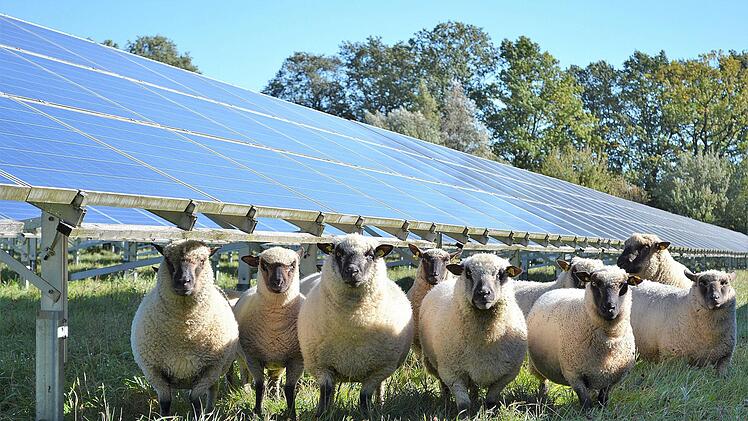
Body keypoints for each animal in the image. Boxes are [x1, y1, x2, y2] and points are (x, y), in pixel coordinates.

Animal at [131, 240, 239, 417]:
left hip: (219, 369)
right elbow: (165, 402)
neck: (184, 330)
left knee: (213, 390)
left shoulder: (210, 369)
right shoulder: (154, 371)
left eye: (202, 260)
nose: (183, 281)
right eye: (167, 259)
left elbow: (195, 400)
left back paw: (210, 411)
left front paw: (200, 416)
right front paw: (164, 418)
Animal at [233, 246, 305, 418]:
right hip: (240, 356)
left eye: (293, 265)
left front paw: (292, 414)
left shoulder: (296, 359)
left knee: (275, 379)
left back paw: (275, 397)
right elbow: (260, 386)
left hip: (278, 362)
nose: (278, 283)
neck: (275, 325)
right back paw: (246, 392)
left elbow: (290, 389)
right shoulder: (253, 357)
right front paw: (257, 412)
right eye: (264, 265)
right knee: (245, 374)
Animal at [297, 234, 414, 416]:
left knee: (380, 387)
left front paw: (367, 415)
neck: (352, 323)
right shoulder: (321, 365)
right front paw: (321, 414)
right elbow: (325, 392)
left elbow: (365, 396)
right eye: (338, 253)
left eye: (370, 255)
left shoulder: (378, 369)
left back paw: (380, 404)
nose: (352, 271)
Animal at [419, 253, 526, 416]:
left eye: (501, 274)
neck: (486, 338)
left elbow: (491, 400)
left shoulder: (506, 375)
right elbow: (463, 404)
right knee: (444, 386)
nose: (483, 294)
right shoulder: (452, 373)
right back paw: (445, 402)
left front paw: (490, 414)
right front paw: (464, 415)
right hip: (437, 364)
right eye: (468, 273)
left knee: (474, 387)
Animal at [527, 266, 642, 409]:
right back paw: (542, 396)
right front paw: (587, 411)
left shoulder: (613, 376)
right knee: (543, 381)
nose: (609, 308)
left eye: (624, 285)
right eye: (594, 283)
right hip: (536, 366)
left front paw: (602, 409)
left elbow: (603, 397)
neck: (609, 339)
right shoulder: (574, 374)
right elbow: (585, 400)